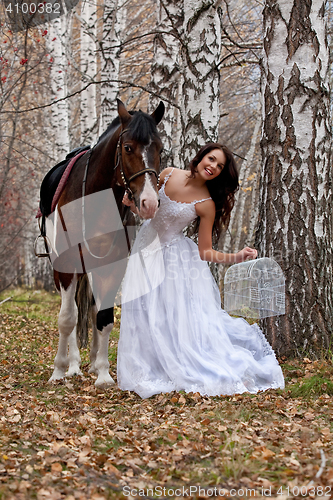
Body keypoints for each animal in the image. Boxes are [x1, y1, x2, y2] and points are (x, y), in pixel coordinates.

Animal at [44, 97, 163, 386]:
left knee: (94, 309)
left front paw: (103, 371)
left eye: (160, 148)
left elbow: (105, 317)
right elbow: (67, 318)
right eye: (128, 147)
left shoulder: (113, 265)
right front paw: (59, 370)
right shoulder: (67, 267)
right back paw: (73, 365)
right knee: (74, 313)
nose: (149, 202)